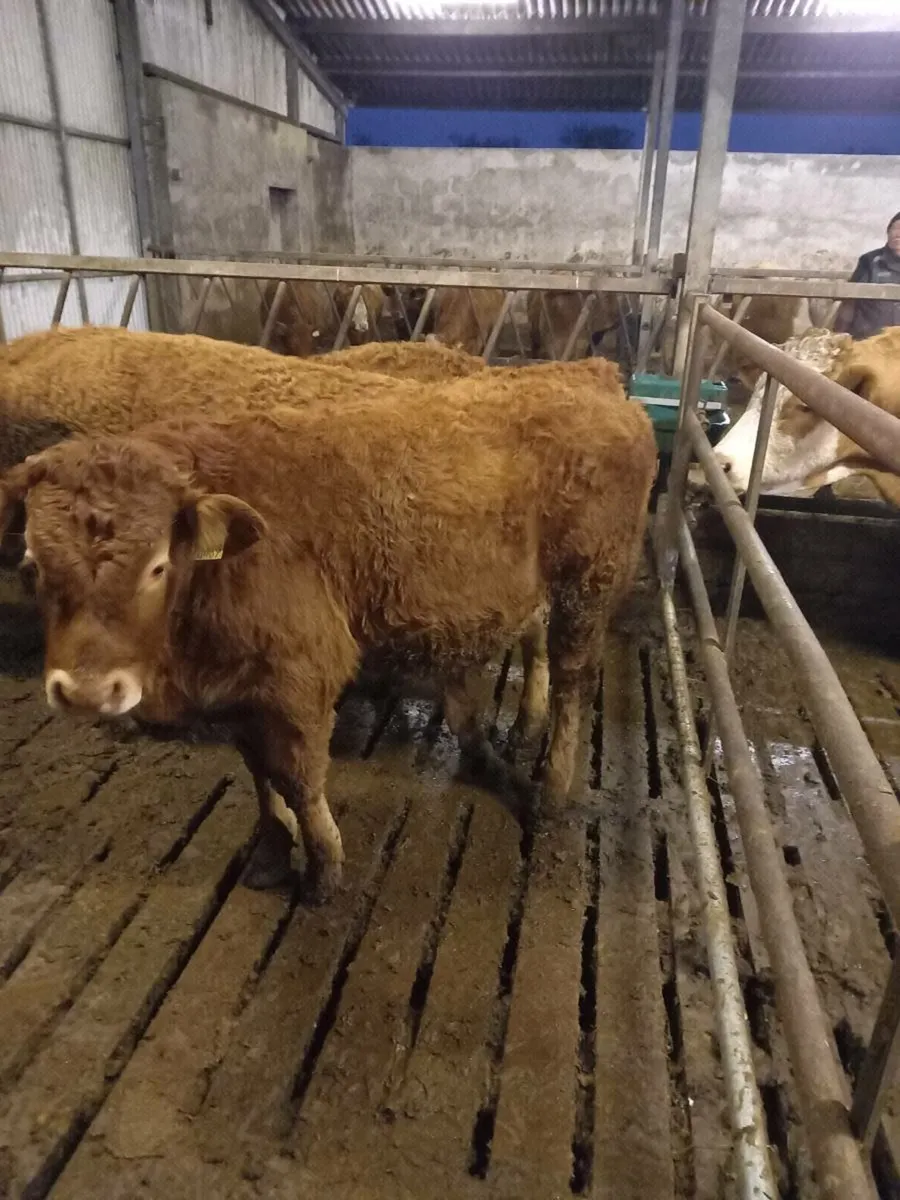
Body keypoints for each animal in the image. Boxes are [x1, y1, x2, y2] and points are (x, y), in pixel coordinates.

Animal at [1, 375, 657, 901]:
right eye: (31, 564)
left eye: (158, 566)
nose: (87, 692)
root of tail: (600, 391)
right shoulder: (243, 689)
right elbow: (259, 774)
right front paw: (270, 855)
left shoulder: (300, 675)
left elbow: (297, 778)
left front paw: (322, 870)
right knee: (530, 649)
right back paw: (514, 733)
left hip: (588, 583)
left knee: (574, 679)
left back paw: (551, 789)